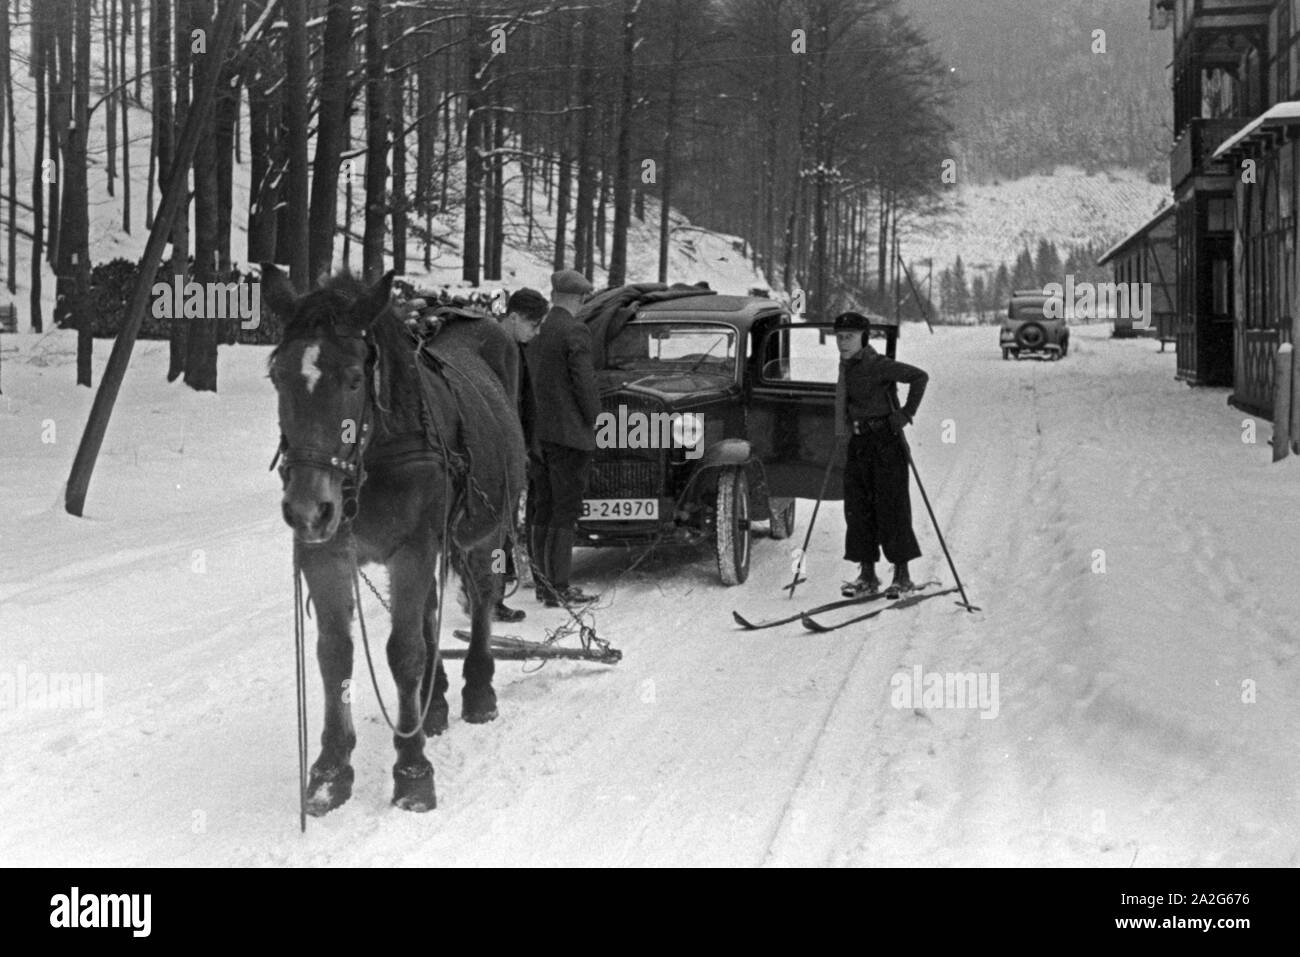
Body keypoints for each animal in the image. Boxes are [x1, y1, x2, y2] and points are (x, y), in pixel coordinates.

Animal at [261, 267, 525, 816]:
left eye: (354, 379)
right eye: (278, 377)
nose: (307, 508)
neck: (374, 453)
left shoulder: (414, 549)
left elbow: (403, 652)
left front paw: (412, 771)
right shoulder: (326, 554)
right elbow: (335, 654)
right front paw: (330, 771)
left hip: (484, 529)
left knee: (482, 599)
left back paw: (477, 690)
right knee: (429, 612)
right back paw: (434, 702)